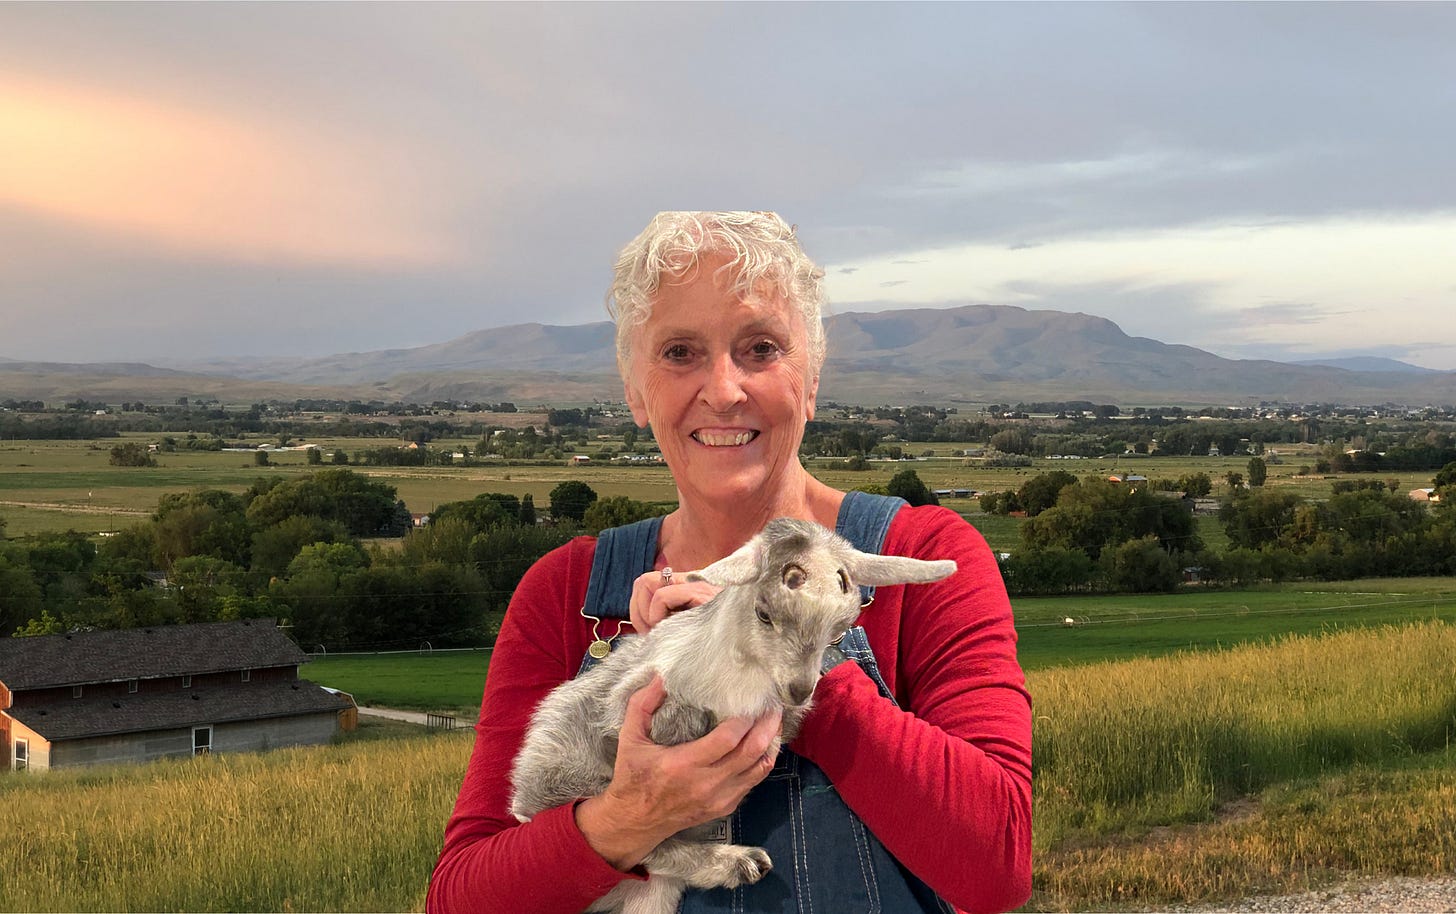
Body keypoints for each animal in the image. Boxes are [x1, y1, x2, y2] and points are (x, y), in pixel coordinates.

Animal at [508, 517, 956, 914]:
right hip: (565, 780)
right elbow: (671, 716)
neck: (745, 676)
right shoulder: (631, 696)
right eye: (763, 613)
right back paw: (739, 861)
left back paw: (739, 865)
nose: (799, 689)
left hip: (653, 895)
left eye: (841, 627)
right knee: (639, 845)